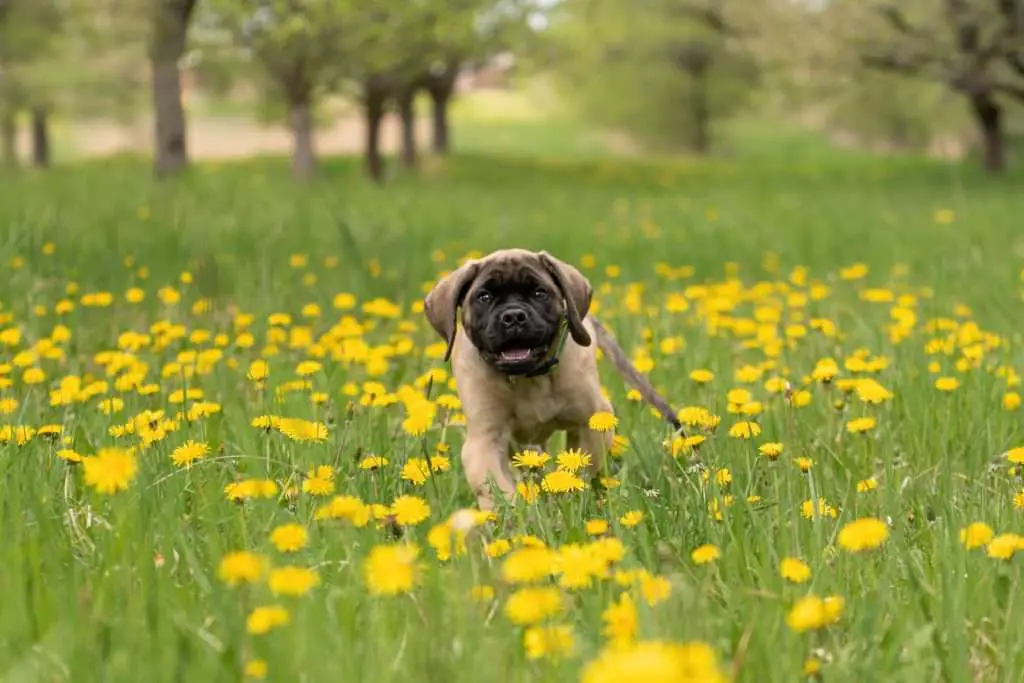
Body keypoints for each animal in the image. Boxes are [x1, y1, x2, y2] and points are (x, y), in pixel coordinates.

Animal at [423, 248, 679, 509]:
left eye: (539, 293)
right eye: (484, 296)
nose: (513, 316)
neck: (527, 379)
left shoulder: (591, 421)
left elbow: (579, 468)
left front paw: (567, 498)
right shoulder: (485, 441)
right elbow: (498, 490)